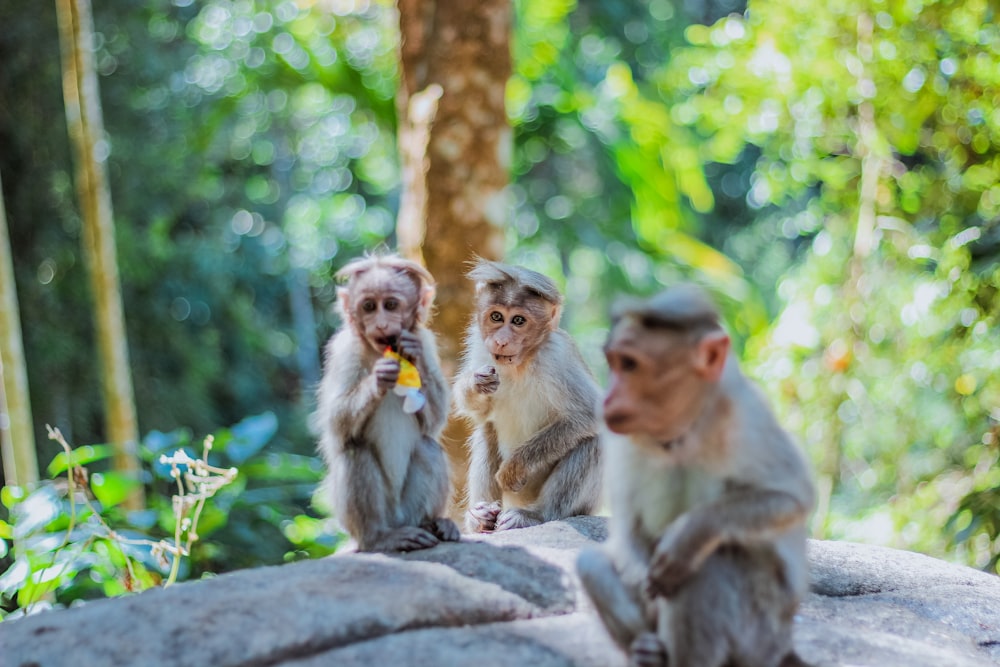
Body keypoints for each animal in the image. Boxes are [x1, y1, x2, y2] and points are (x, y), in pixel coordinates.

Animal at [312, 253, 460, 552]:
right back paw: (379, 538)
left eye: (390, 305)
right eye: (369, 306)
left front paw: (412, 357)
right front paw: (378, 379)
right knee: (355, 450)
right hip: (367, 520)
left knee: (428, 447)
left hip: (407, 510)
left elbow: (434, 421)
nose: (380, 324)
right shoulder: (345, 351)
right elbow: (336, 423)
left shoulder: (425, 340)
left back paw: (433, 524)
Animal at [454, 258, 600, 536]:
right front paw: (476, 383)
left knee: (592, 441)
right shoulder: (479, 343)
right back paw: (480, 518)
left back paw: (535, 515)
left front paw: (512, 471)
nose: (500, 341)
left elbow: (589, 416)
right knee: (487, 430)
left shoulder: (557, 357)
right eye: (496, 317)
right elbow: (480, 412)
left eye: (519, 321)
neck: (521, 363)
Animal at [576, 288, 816, 667]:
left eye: (629, 364)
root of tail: (784, 647)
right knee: (591, 562)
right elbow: (628, 530)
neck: (679, 433)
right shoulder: (619, 438)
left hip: (761, 634)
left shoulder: (746, 414)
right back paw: (645, 652)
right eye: (613, 362)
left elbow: (793, 497)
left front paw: (692, 533)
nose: (608, 397)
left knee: (707, 564)